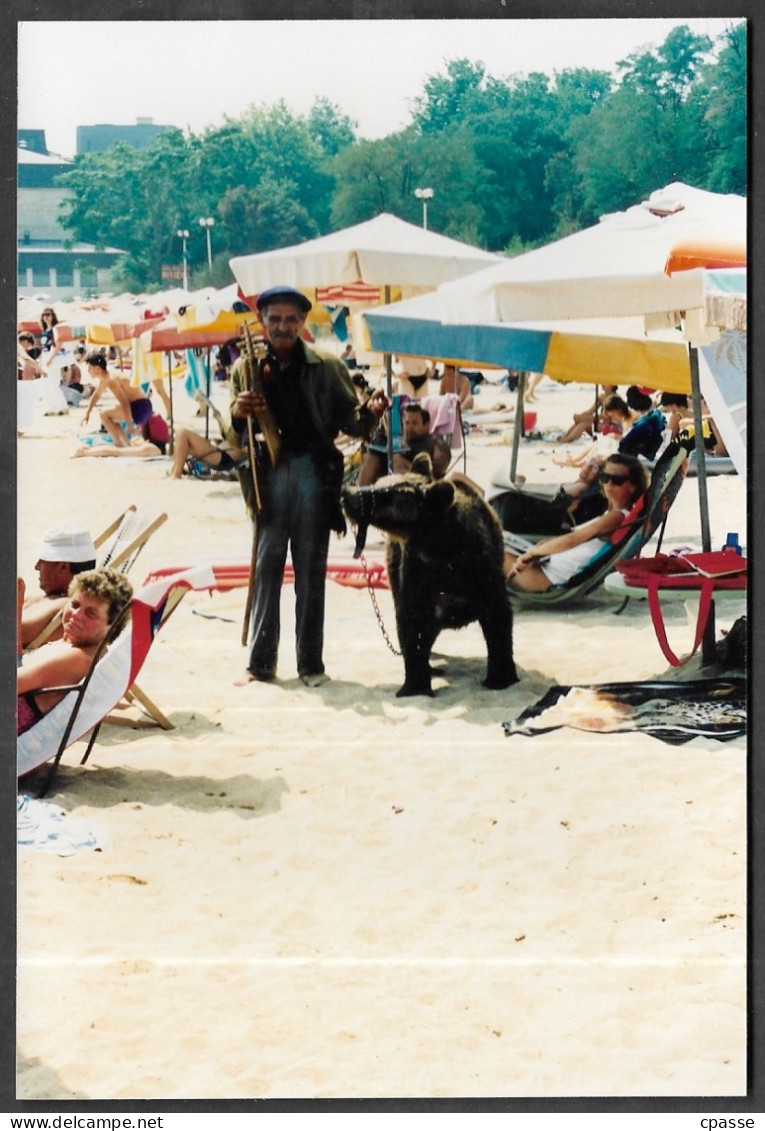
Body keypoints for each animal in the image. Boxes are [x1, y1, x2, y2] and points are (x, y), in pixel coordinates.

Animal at [341, 452, 516, 696]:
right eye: (379, 482)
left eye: (389, 494)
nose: (348, 493)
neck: (441, 550)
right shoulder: (417, 573)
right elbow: (411, 622)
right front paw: (415, 685)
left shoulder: (480, 571)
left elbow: (498, 617)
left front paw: (500, 678)